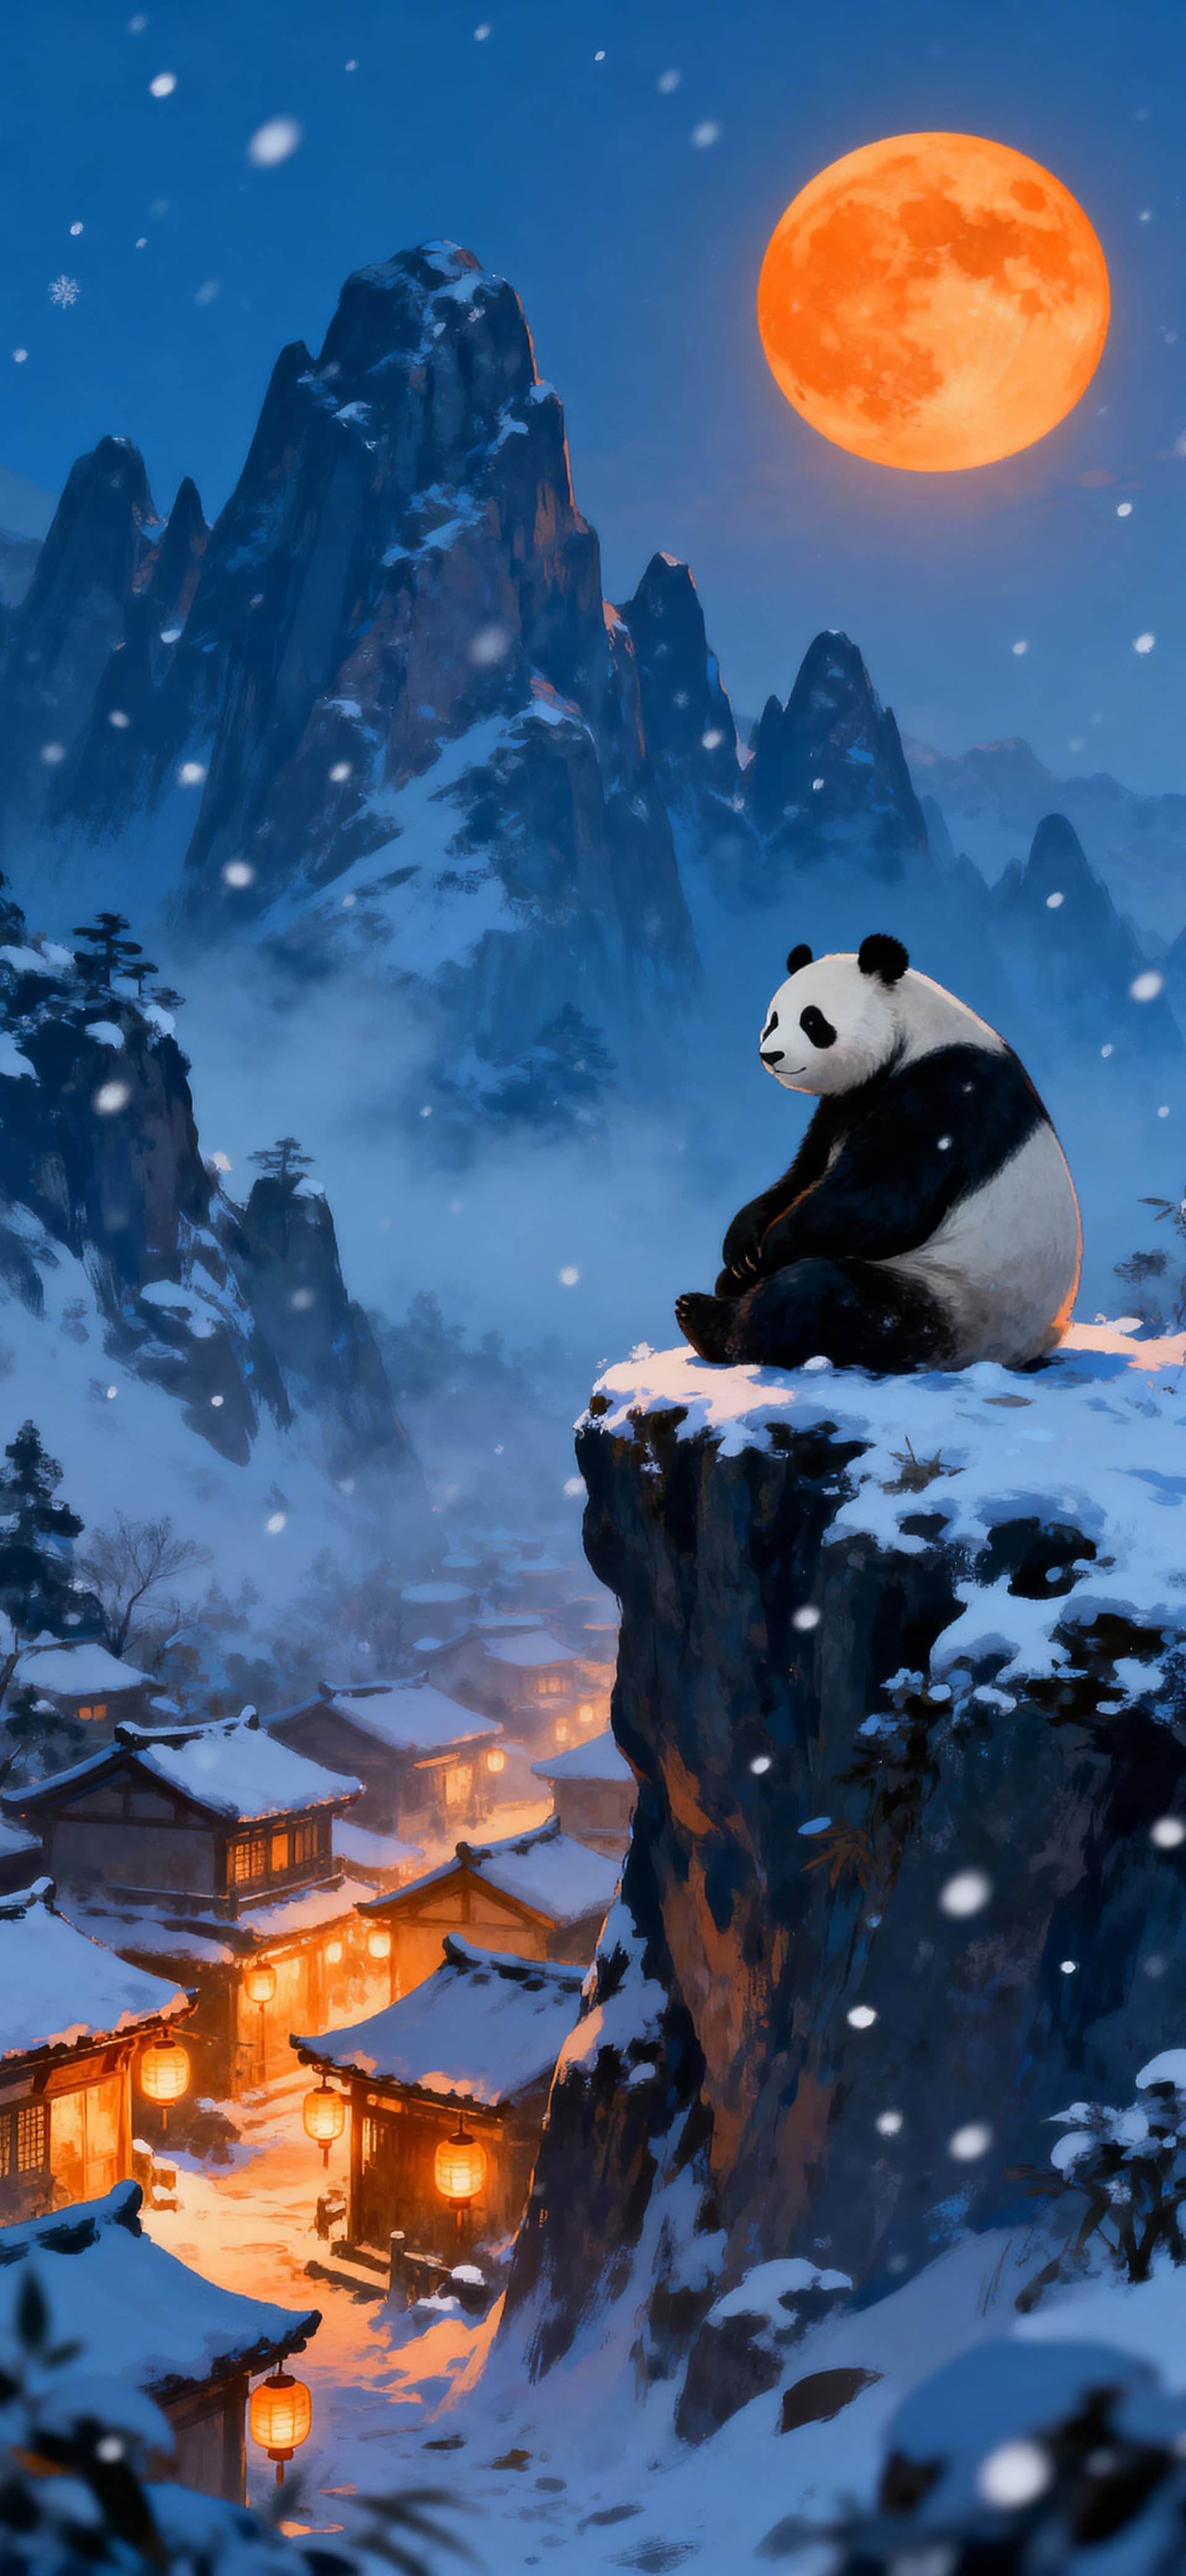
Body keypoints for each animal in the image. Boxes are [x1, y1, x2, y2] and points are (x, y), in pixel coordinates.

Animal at [675, 933, 1082, 1376]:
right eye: (775, 1019)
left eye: (813, 1021)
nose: (772, 1055)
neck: (914, 1032)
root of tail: (1024, 1353)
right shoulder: (843, 1105)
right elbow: (804, 1174)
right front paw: (742, 1247)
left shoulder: (946, 1095)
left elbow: (879, 1201)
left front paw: (769, 1250)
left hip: (955, 1298)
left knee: (821, 1298)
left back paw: (704, 1318)